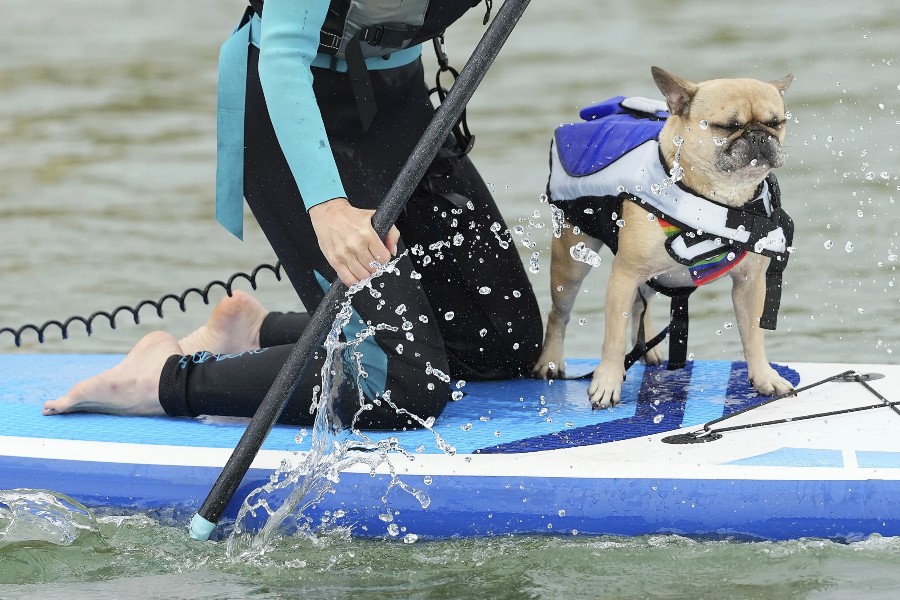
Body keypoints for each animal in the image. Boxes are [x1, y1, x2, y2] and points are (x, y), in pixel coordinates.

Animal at [533, 66, 796, 408]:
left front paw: (764, 378)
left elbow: (753, 335)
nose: (759, 136)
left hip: (653, 274)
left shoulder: (750, 285)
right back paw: (550, 361)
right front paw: (607, 382)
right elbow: (612, 340)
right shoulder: (623, 275)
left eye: (776, 122)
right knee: (559, 314)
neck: (718, 197)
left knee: (639, 306)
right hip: (571, 263)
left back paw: (650, 349)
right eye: (728, 126)